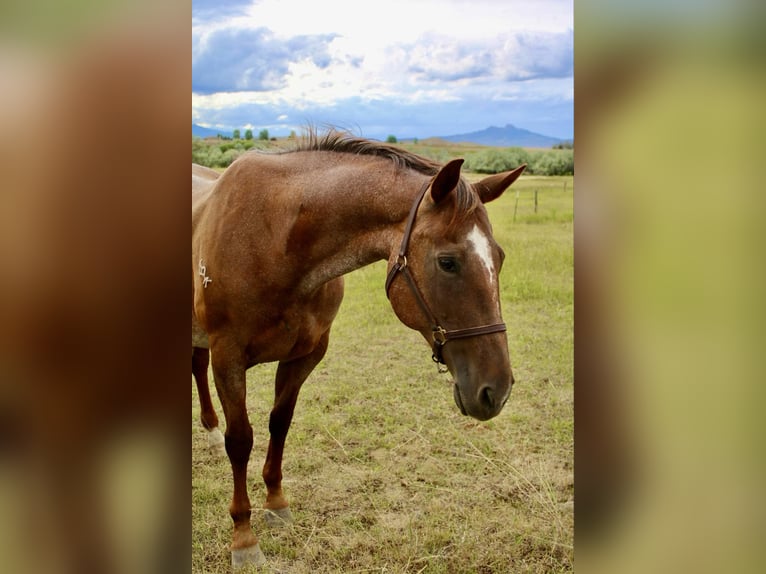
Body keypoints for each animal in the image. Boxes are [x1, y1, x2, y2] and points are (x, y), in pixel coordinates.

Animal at [191, 130, 526, 568]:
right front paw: (244, 537)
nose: (496, 391)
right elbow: (241, 440)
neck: (275, 238)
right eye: (448, 262)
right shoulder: (227, 357)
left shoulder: (304, 355)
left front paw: (276, 503)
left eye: (499, 258)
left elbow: (279, 422)